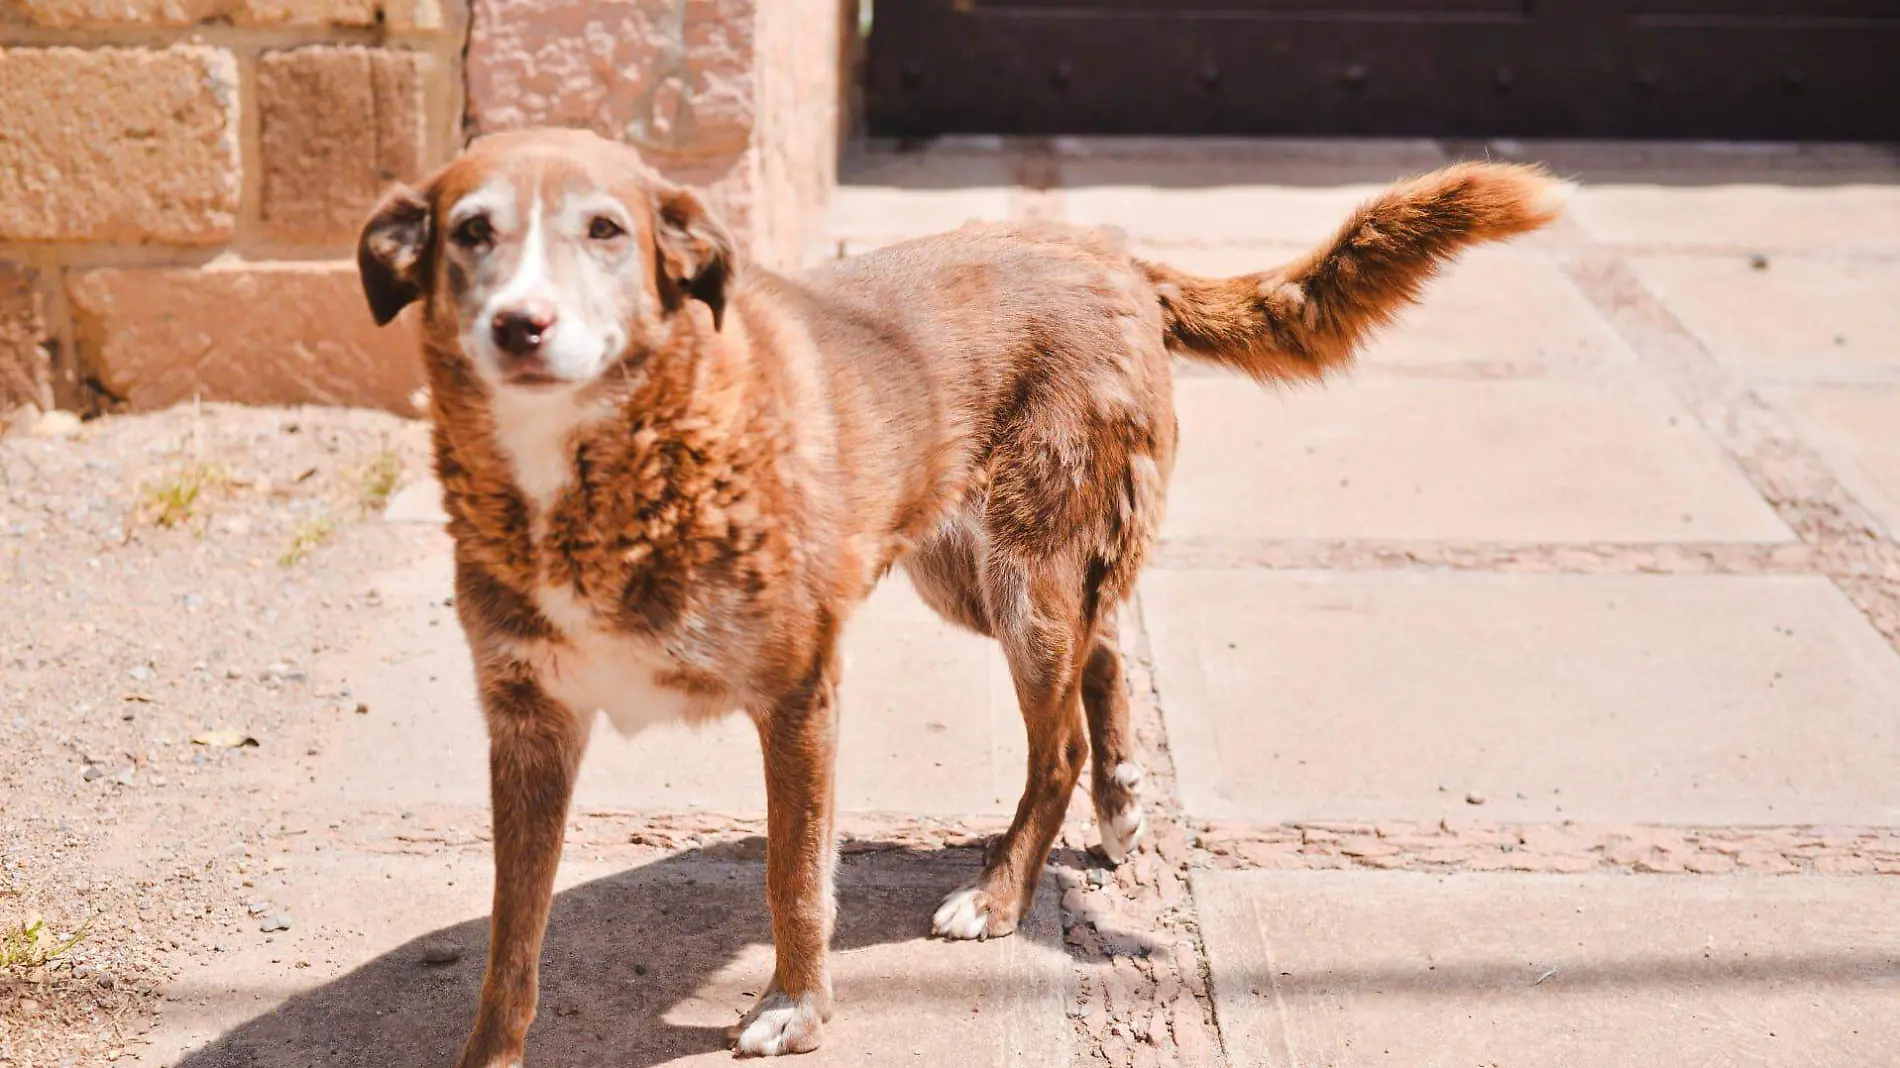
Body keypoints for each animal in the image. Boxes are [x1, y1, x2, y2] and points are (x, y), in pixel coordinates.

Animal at [353, 126, 1558, 1056]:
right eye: (471, 232)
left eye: (606, 230)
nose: (521, 325)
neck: (598, 467)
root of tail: (1114, 256)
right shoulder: (528, 725)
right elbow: (511, 937)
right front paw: (489, 1051)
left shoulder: (800, 696)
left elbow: (794, 875)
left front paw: (798, 1008)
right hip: (966, 570)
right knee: (1104, 649)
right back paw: (1121, 798)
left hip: (1024, 581)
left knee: (1056, 740)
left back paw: (1002, 890)